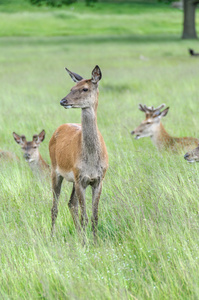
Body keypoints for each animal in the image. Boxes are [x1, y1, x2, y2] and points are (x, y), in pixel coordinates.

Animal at [49, 65, 109, 241]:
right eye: (71, 88)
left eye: (85, 88)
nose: (63, 101)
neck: (91, 161)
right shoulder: (80, 178)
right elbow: (85, 217)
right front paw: (84, 243)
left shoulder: (98, 179)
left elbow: (95, 216)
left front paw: (95, 242)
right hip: (55, 171)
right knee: (54, 207)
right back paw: (52, 236)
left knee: (71, 203)